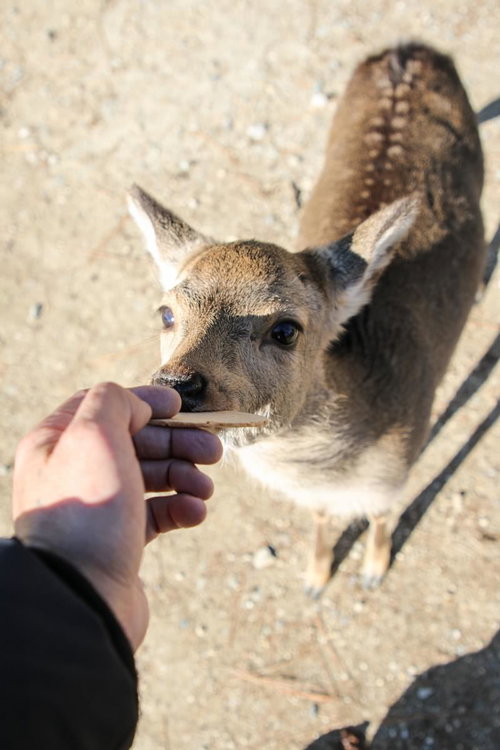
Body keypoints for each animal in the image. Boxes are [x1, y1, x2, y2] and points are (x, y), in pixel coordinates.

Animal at [128, 43, 485, 595]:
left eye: (285, 330)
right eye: (166, 312)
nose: (178, 384)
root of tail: (409, 49)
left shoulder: (401, 467)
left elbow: (381, 515)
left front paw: (373, 571)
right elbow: (320, 516)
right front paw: (316, 576)